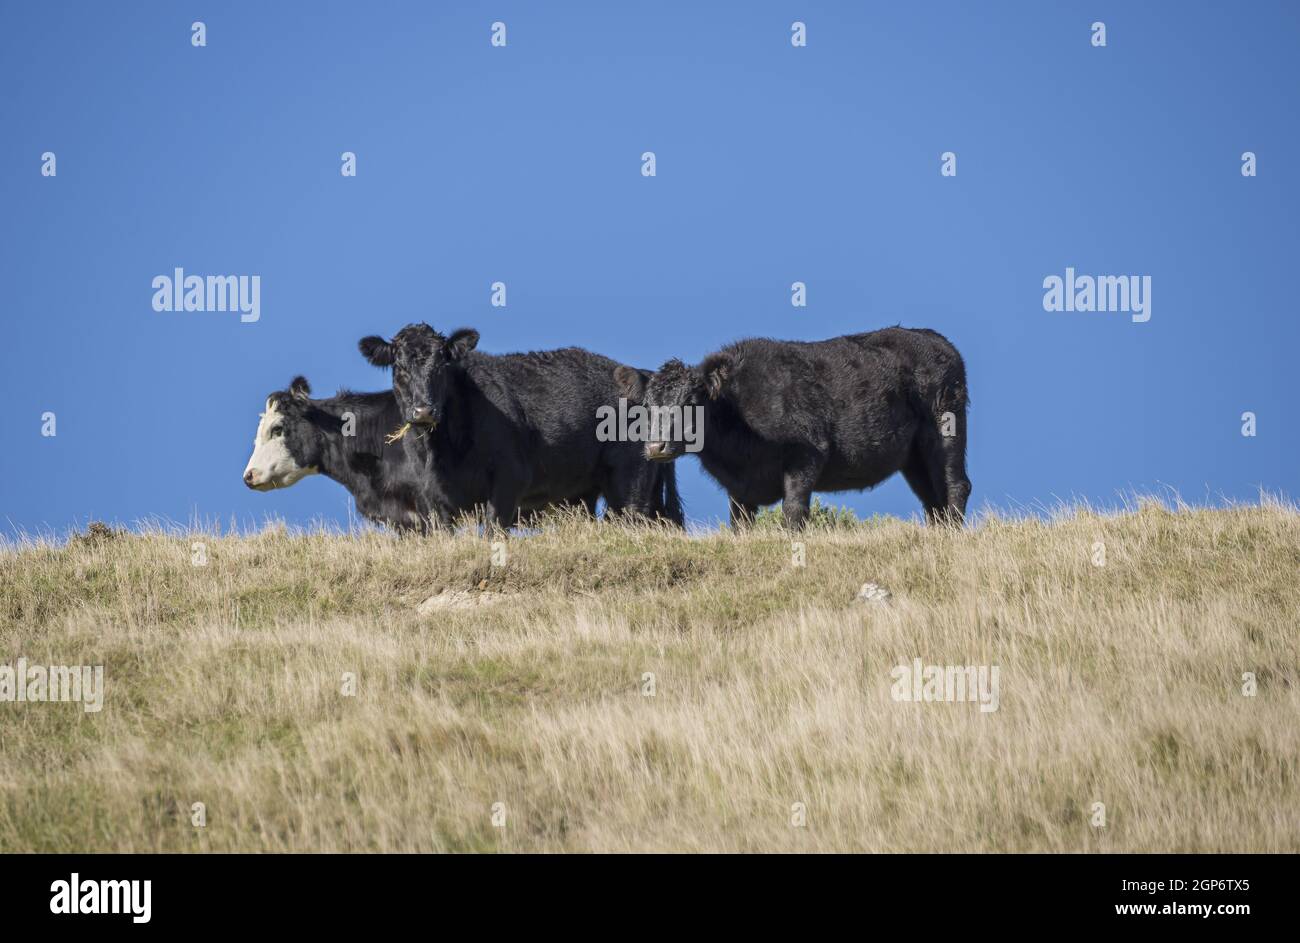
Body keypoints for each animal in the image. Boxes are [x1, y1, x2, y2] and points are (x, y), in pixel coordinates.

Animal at [358, 324, 683, 530]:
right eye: (399, 368)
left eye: (442, 365)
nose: (424, 410)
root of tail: (643, 376)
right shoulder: (431, 495)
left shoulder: (510, 477)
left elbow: (493, 529)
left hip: (630, 476)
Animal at [613, 327, 970, 530]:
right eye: (647, 405)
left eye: (690, 402)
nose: (656, 447)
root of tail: (935, 339)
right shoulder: (739, 486)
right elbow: (739, 521)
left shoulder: (808, 452)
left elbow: (794, 509)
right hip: (913, 456)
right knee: (932, 498)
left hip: (946, 428)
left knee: (956, 485)